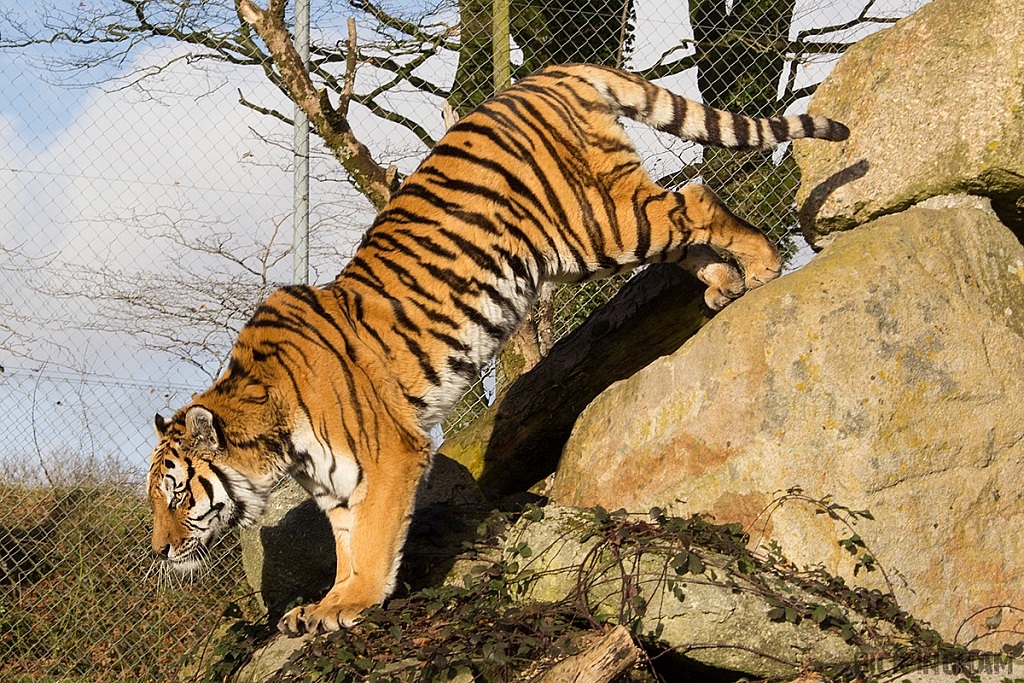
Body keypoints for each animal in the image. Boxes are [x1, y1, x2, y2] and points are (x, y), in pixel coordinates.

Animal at [146, 62, 847, 634]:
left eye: (178, 495)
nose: (159, 549)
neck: (273, 445)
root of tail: (540, 76)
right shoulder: (335, 484)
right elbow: (344, 545)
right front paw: (326, 604)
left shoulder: (391, 454)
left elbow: (372, 541)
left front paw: (356, 603)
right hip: (604, 231)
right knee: (686, 233)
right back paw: (725, 282)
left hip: (597, 223)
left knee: (696, 198)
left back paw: (763, 265)